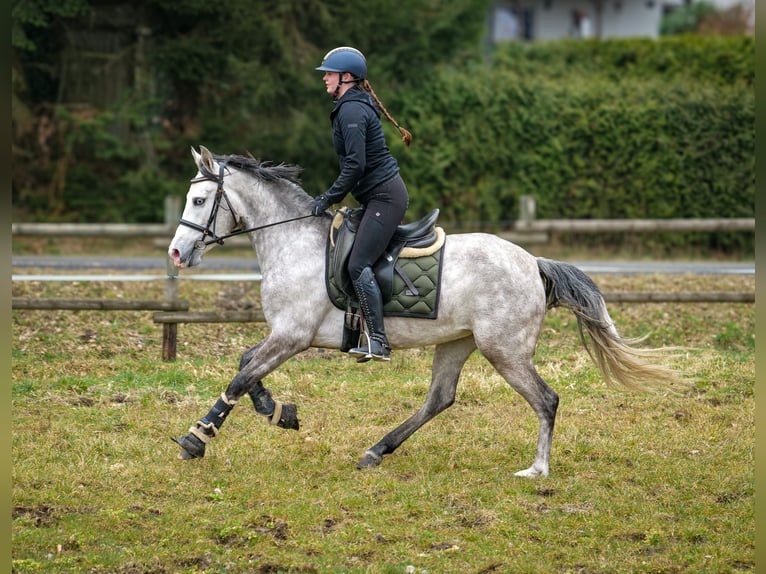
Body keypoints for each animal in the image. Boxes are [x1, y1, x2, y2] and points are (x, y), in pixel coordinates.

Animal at [168, 146, 680, 480]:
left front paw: (197, 438)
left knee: (546, 400)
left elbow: (240, 377)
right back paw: (376, 450)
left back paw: (537, 469)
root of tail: (532, 262)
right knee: (439, 399)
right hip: (457, 342)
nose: (176, 253)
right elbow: (246, 368)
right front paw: (279, 412)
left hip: (504, 350)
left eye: (199, 201)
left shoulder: (292, 335)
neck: (293, 242)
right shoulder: (285, 334)